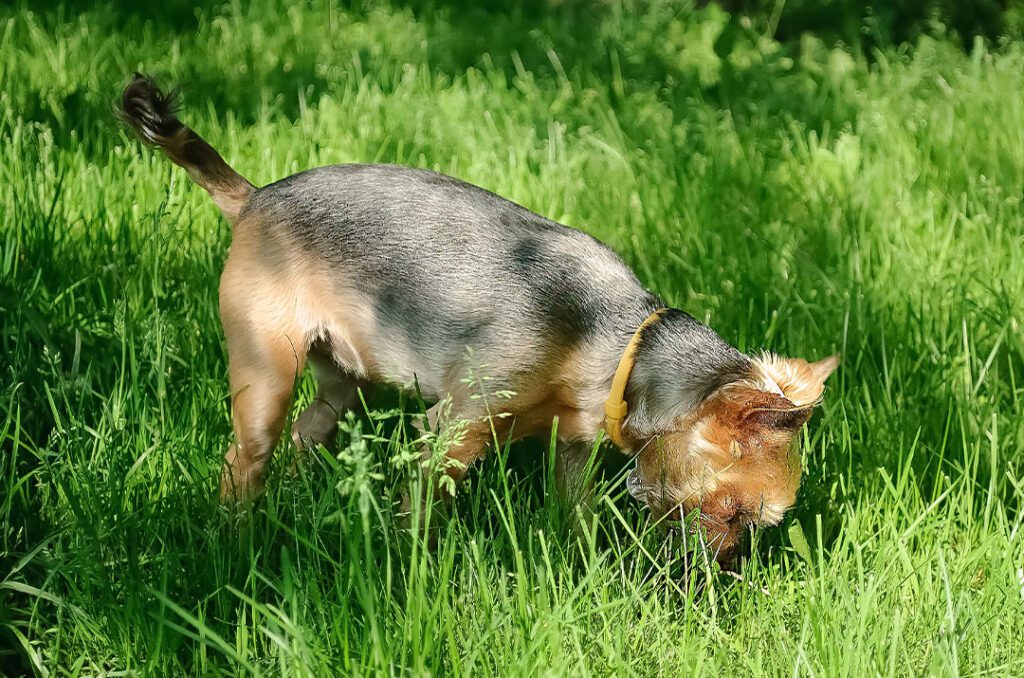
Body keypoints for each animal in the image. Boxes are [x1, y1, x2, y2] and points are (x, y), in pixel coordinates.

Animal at [121, 73, 839, 561]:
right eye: (735, 512)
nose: (726, 571)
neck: (616, 347)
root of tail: (253, 198)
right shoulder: (450, 431)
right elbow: (419, 516)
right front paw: (410, 577)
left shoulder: (573, 450)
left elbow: (574, 516)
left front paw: (582, 570)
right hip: (266, 368)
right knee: (244, 460)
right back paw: (235, 538)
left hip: (340, 385)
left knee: (305, 435)